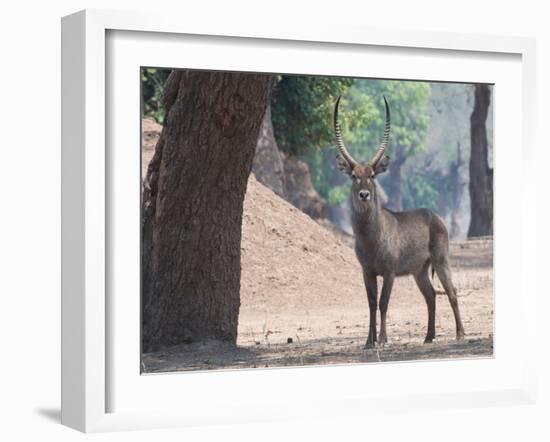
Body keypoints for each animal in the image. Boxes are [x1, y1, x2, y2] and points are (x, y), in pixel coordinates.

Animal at [334, 95, 468, 348]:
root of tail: (435, 216)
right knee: (431, 295)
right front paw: (368, 341)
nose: (364, 194)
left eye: (372, 175)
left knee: (452, 291)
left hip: (441, 260)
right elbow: (371, 303)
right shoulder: (367, 271)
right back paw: (428, 337)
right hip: (419, 270)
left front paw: (383, 339)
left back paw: (460, 334)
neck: (371, 237)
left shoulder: (389, 271)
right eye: (354, 175)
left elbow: (383, 302)